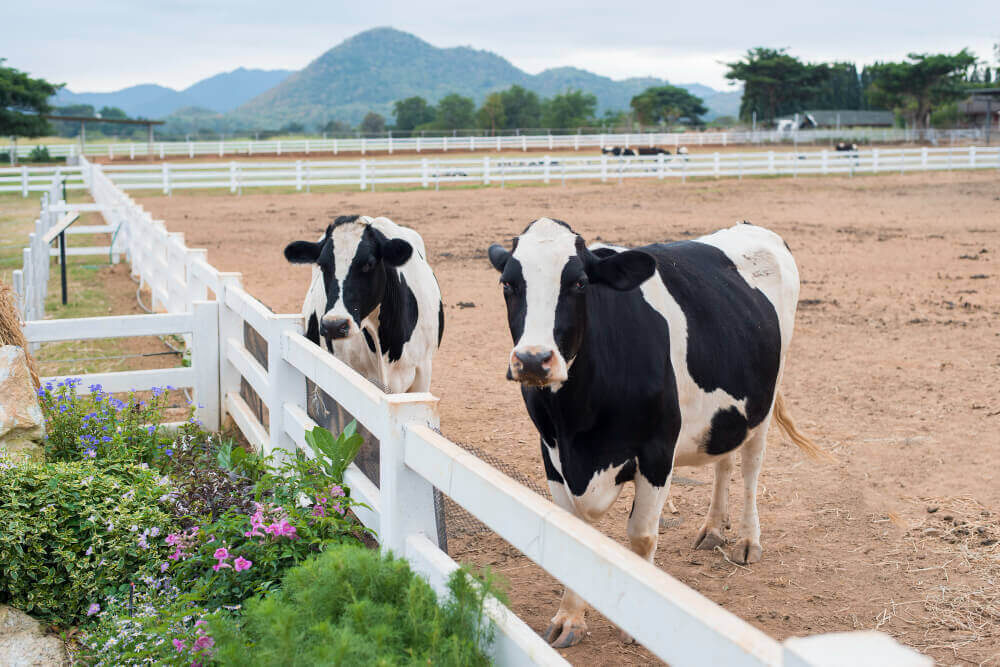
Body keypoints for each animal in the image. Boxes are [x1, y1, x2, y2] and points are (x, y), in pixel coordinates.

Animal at [487, 218, 825, 648]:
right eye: (508, 285)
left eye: (579, 283)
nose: (532, 360)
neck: (580, 427)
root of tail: (751, 226)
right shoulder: (551, 451)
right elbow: (573, 534)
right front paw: (570, 619)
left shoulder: (657, 451)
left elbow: (642, 536)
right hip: (725, 411)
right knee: (725, 461)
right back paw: (713, 528)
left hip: (763, 401)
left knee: (751, 466)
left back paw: (748, 540)